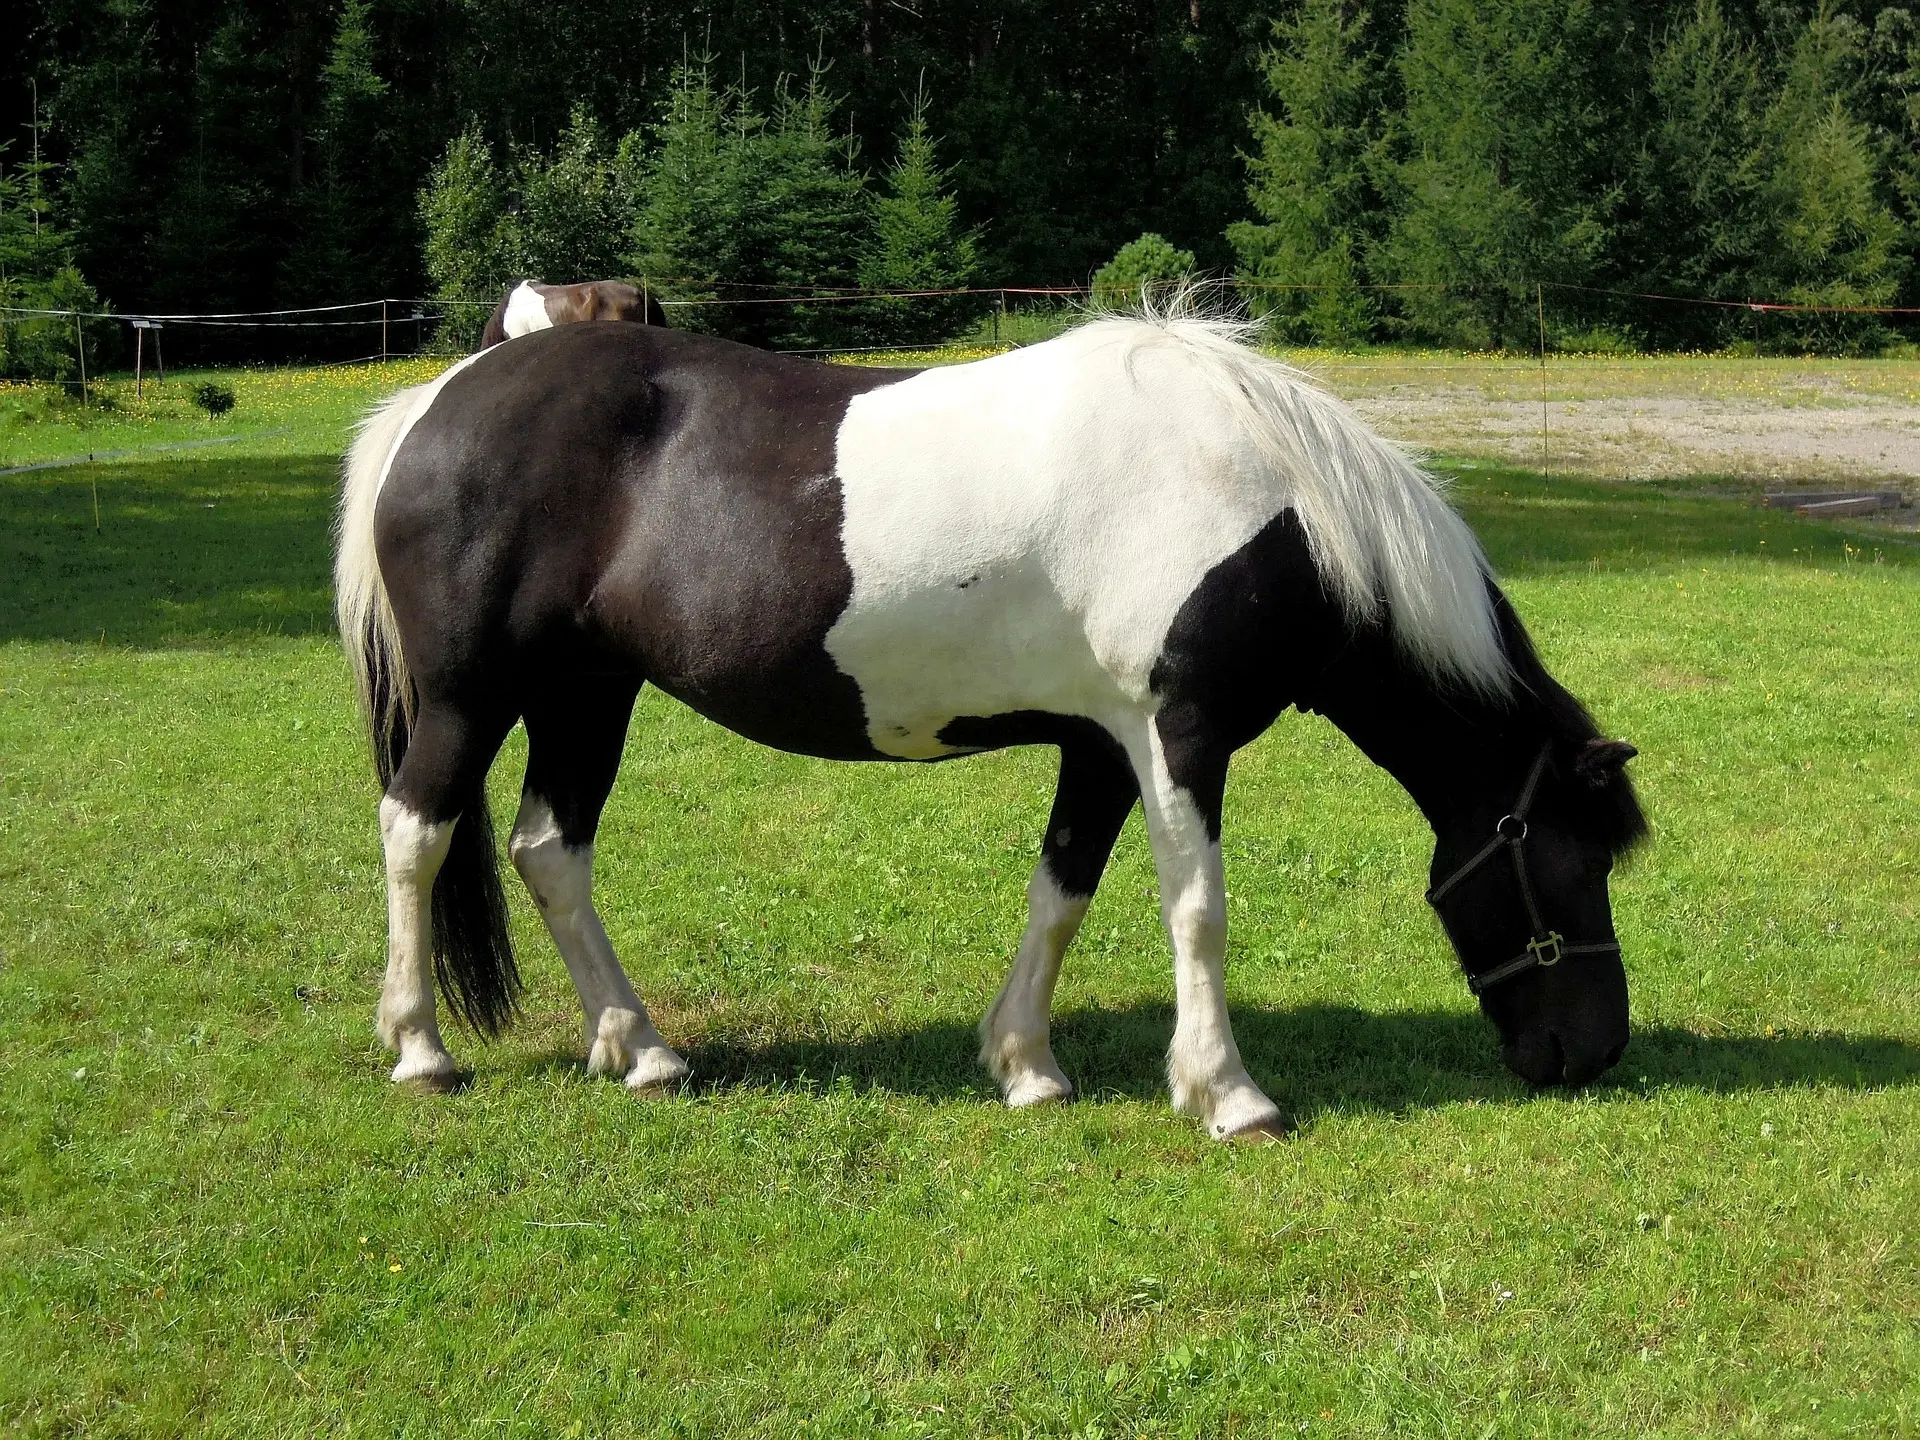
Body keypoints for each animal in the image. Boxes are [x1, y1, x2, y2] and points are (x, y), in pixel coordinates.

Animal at [337, 312, 1643, 1136]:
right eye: (1572, 863)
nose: (1595, 1053)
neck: (1261, 501)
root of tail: (431, 404)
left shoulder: (1101, 745)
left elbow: (1061, 896)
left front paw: (1027, 1067)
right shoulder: (1180, 737)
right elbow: (1198, 912)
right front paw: (1228, 1095)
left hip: (587, 694)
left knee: (549, 852)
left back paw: (643, 1049)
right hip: (472, 696)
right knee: (417, 833)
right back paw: (421, 1050)